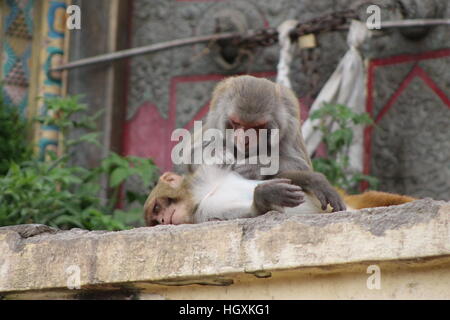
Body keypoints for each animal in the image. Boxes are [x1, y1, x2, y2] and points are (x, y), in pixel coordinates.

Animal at [185, 75, 346, 212]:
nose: (245, 139)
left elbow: (301, 164)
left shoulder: (289, 122)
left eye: (257, 126)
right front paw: (218, 155)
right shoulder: (216, 113)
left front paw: (254, 166)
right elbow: (193, 155)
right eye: (237, 122)